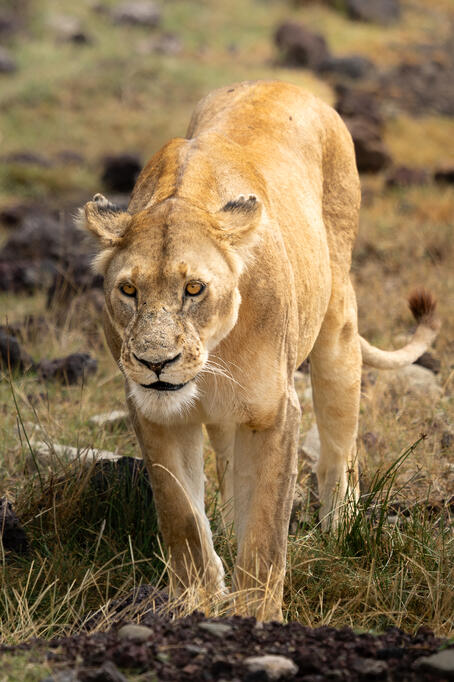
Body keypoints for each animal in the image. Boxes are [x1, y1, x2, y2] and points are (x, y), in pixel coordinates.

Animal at [78, 81, 439, 621]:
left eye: (193, 289)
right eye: (128, 291)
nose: (156, 364)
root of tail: (284, 83)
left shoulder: (275, 412)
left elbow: (267, 529)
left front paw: (258, 617)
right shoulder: (156, 415)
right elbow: (180, 513)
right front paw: (196, 603)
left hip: (337, 320)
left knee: (339, 446)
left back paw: (341, 526)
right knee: (229, 466)